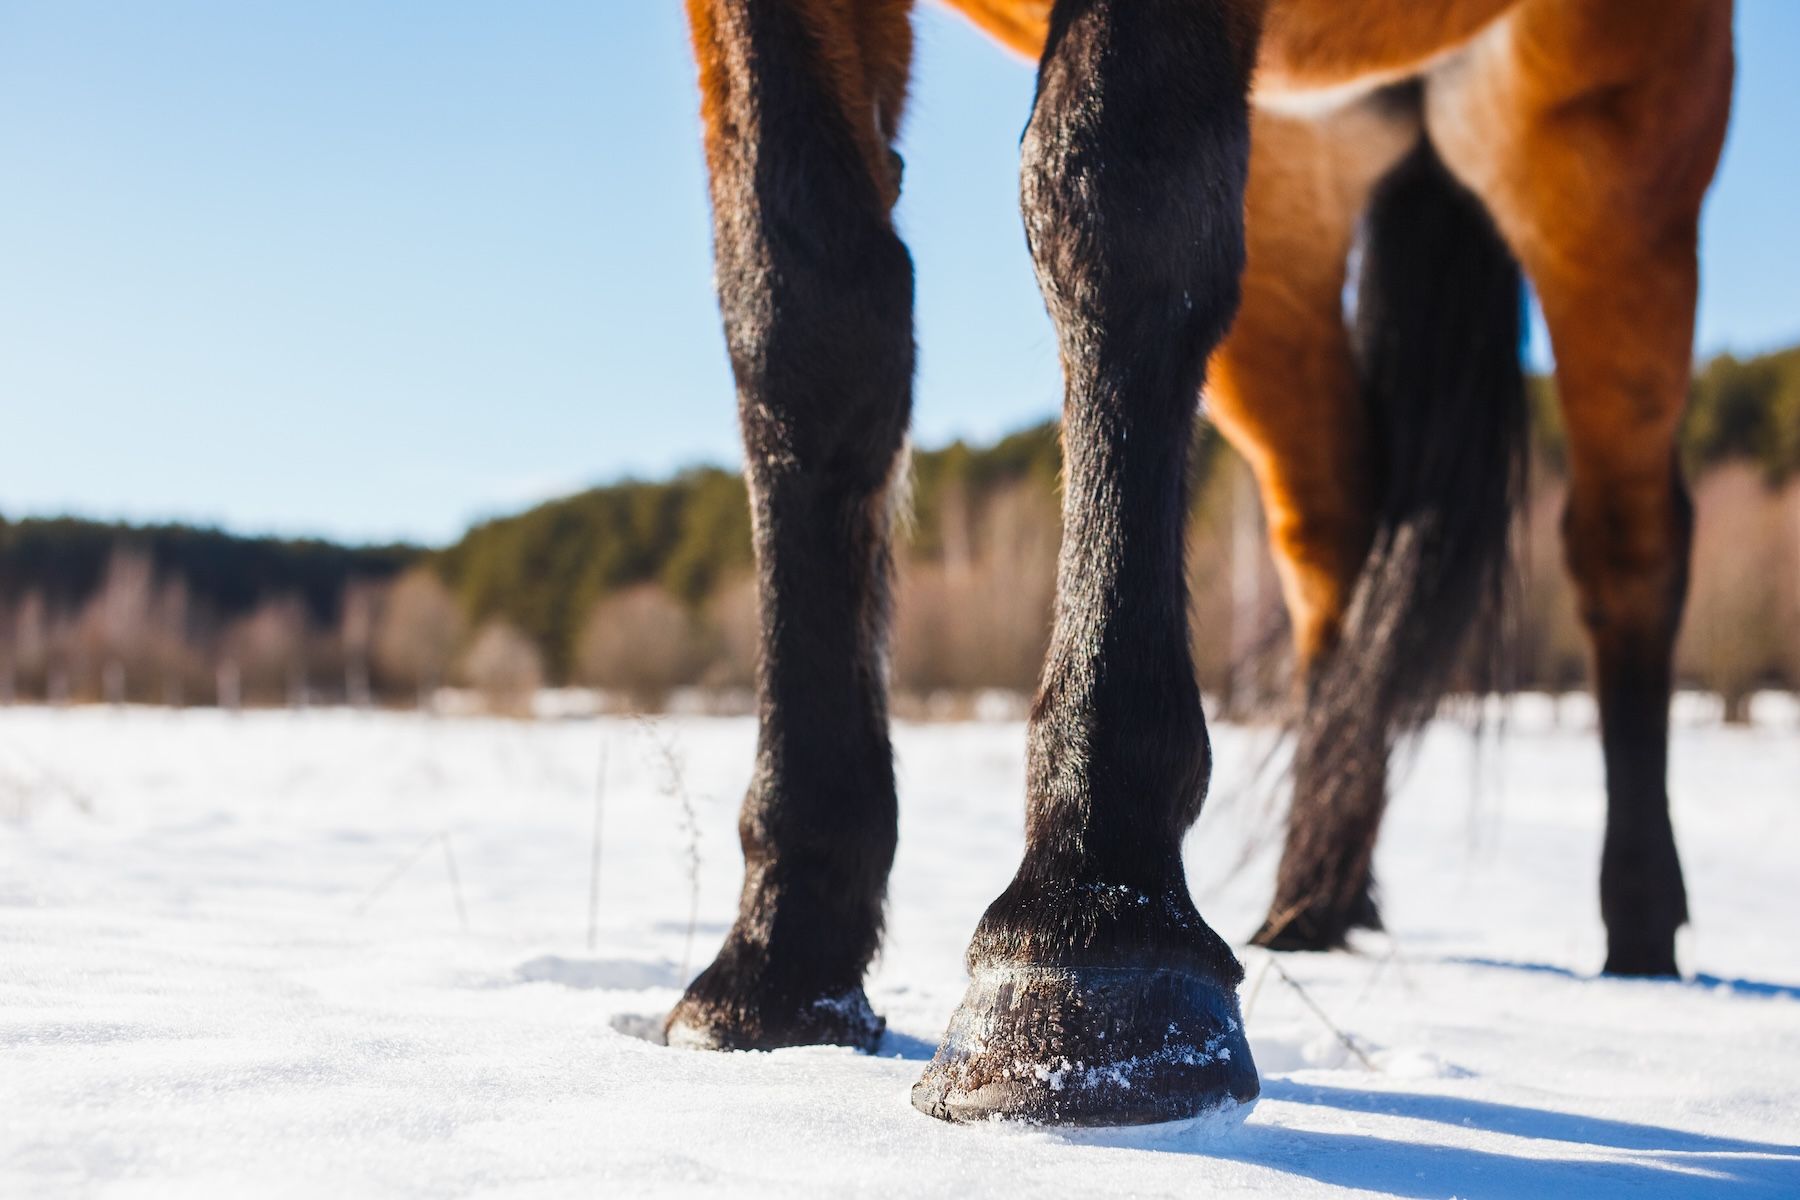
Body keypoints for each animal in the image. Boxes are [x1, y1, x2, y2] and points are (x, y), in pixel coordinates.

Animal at [667, 0, 1735, 1127]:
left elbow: (1114, 200)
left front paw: (1085, 934)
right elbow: (802, 306)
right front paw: (783, 954)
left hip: (1599, 153)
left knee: (1629, 549)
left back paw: (1643, 932)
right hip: (1302, 188)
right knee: (1338, 536)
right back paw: (1314, 899)